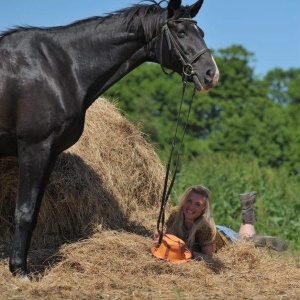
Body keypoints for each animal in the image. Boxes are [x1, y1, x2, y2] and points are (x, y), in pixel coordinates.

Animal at [0, 0, 218, 276]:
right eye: (180, 33)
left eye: (201, 33)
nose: (211, 74)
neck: (60, 68)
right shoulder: (34, 148)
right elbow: (25, 213)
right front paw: (20, 271)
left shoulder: (49, 153)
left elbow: (35, 212)